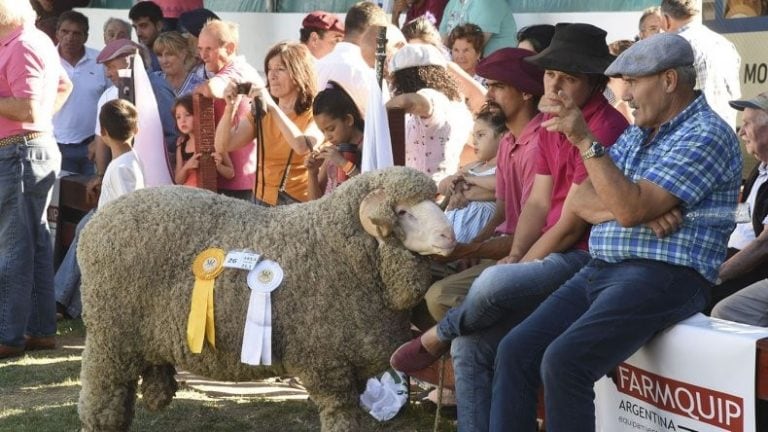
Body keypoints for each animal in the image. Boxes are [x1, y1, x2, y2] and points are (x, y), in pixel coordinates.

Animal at [76, 166, 456, 432]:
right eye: (402, 212)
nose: (449, 236)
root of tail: (94, 224)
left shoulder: (350, 362)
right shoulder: (326, 363)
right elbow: (340, 417)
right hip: (110, 340)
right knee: (101, 404)